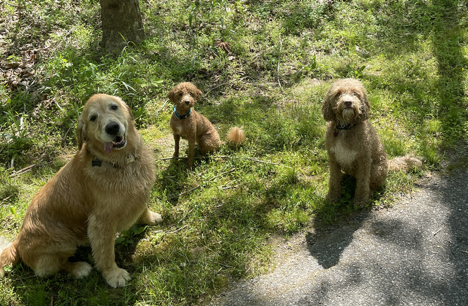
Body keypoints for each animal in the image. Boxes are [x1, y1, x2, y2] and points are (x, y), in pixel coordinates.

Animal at [0, 94, 161, 288]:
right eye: (93, 118)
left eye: (114, 107)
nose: (112, 127)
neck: (120, 162)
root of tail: (17, 242)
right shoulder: (100, 223)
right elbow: (106, 254)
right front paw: (113, 274)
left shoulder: (140, 193)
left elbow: (143, 208)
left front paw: (150, 218)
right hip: (63, 242)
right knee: (52, 268)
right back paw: (78, 268)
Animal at [322, 79, 420, 207]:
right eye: (338, 93)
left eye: (355, 93)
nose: (348, 102)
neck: (345, 127)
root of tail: (388, 164)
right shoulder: (333, 159)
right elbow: (333, 180)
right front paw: (332, 197)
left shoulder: (364, 161)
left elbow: (363, 183)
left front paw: (360, 201)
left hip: (376, 170)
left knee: (373, 185)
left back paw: (370, 193)